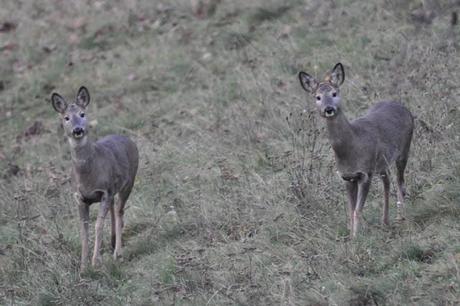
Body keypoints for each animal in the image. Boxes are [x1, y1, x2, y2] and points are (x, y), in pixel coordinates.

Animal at [51, 86, 138, 270]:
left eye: (83, 113)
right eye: (66, 118)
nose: (77, 130)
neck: (88, 176)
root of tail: (128, 139)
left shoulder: (105, 191)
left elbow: (98, 225)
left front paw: (95, 261)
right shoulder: (80, 198)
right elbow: (84, 230)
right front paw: (83, 266)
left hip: (128, 183)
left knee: (119, 212)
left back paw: (118, 253)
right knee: (114, 209)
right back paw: (112, 242)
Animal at [298, 63, 414, 238]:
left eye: (334, 93)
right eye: (317, 97)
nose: (328, 108)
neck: (352, 147)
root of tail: (403, 107)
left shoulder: (365, 173)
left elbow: (357, 210)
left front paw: (357, 237)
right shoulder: (348, 177)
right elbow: (351, 209)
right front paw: (352, 236)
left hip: (404, 150)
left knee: (400, 182)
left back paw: (402, 218)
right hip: (381, 162)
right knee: (387, 181)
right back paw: (385, 221)